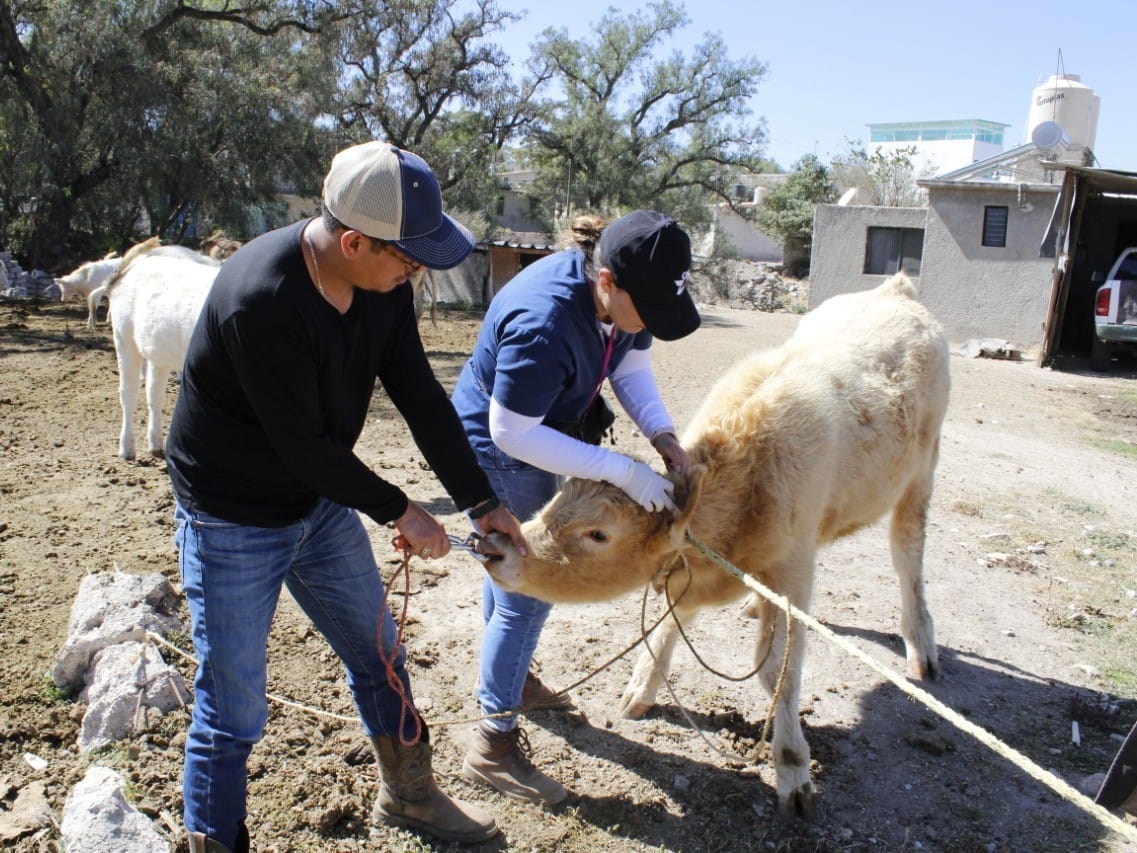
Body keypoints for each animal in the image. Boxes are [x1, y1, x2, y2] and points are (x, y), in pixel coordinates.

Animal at [107, 250, 220, 461]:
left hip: (157, 354)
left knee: (154, 394)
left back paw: (156, 444)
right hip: (124, 338)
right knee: (129, 393)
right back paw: (127, 448)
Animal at [482, 274, 950, 823]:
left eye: (598, 534)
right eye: (556, 499)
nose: (498, 546)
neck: (748, 474)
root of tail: (895, 289)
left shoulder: (792, 571)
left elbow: (778, 671)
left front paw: (793, 768)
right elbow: (669, 621)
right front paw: (642, 686)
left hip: (921, 473)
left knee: (907, 552)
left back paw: (920, 643)